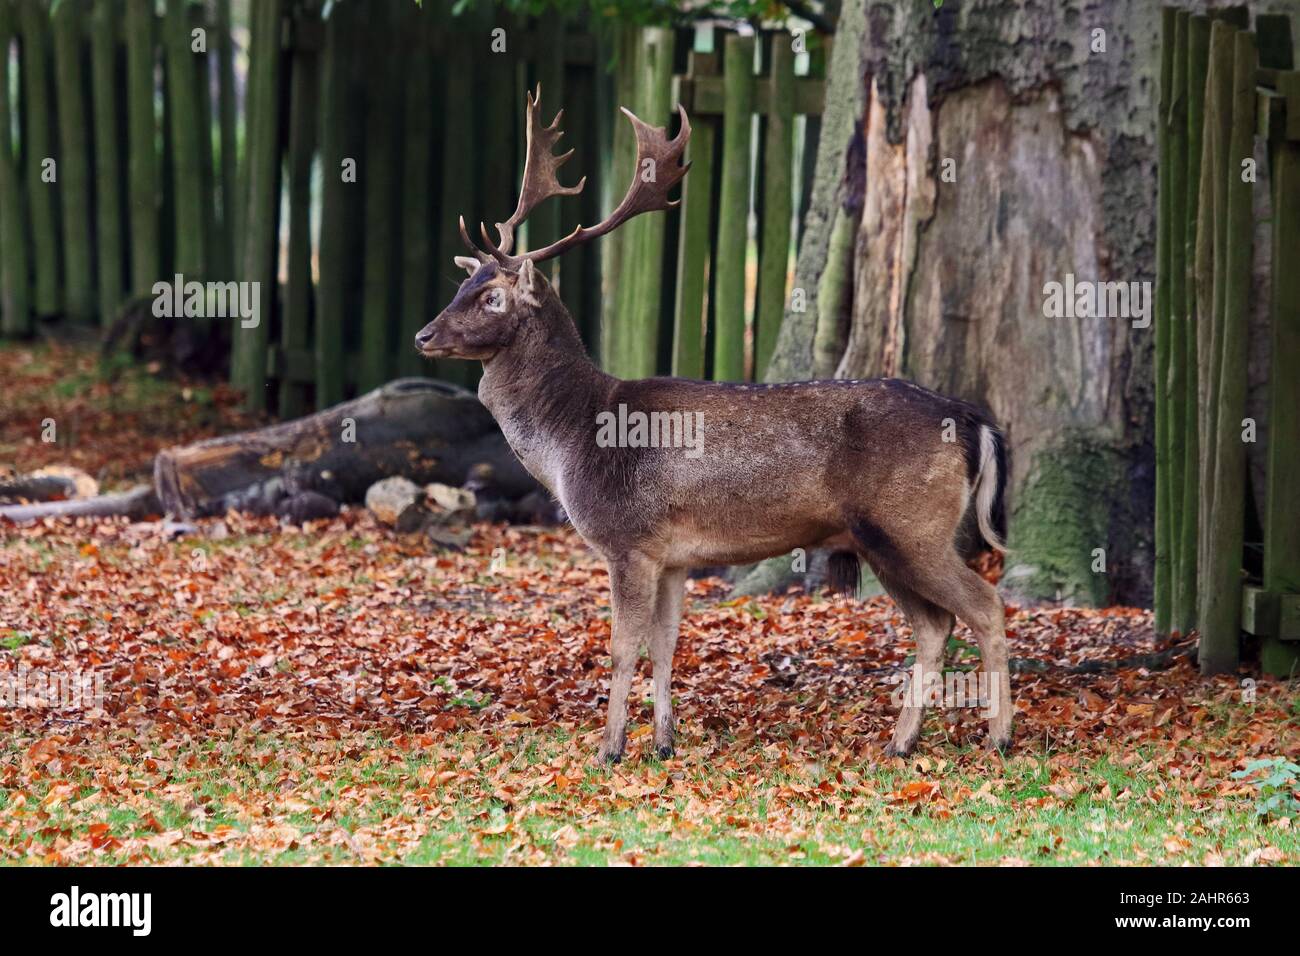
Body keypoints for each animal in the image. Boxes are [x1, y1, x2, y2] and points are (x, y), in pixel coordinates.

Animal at [416, 87, 1013, 764]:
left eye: (491, 296)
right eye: (461, 282)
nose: (424, 336)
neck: (572, 438)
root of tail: (973, 420)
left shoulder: (628, 539)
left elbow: (622, 647)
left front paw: (609, 749)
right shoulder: (673, 556)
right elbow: (665, 645)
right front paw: (663, 743)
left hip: (912, 525)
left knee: (985, 605)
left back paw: (999, 737)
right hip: (881, 537)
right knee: (937, 624)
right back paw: (902, 742)